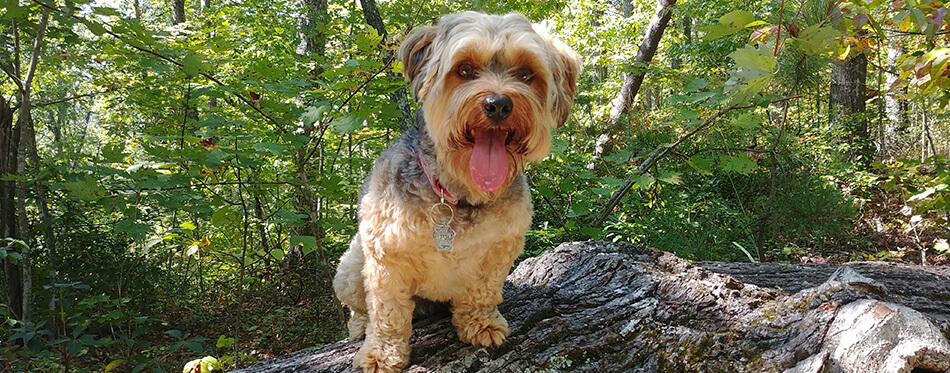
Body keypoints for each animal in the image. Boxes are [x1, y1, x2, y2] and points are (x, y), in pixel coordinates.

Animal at [338, 11, 584, 372]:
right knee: (358, 307)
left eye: (526, 73)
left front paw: (480, 323)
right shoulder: (387, 258)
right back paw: (359, 327)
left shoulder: (500, 250)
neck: (458, 196)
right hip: (351, 267)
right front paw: (381, 354)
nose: (498, 104)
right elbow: (387, 314)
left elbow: (481, 292)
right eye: (464, 69)